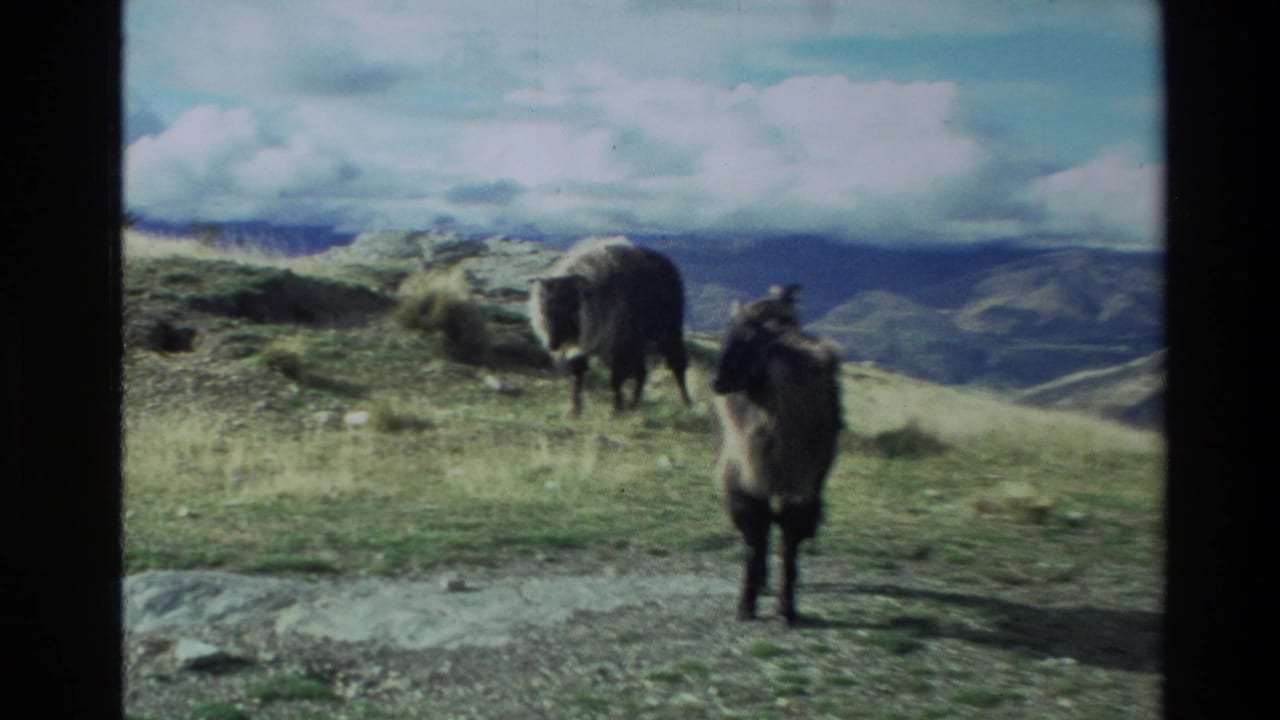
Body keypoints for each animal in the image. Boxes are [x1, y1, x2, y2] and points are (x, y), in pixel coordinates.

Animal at [528, 236, 692, 417]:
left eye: (570, 307)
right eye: (545, 309)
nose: (552, 344)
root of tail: (669, 266)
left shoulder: (618, 346)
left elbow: (616, 379)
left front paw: (616, 409)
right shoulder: (584, 348)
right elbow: (578, 376)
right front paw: (575, 409)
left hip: (669, 331)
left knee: (677, 364)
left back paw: (686, 403)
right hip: (638, 344)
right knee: (642, 373)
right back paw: (634, 405)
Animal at [711, 284, 843, 625]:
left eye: (750, 343)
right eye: (725, 336)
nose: (716, 381)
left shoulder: (799, 485)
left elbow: (788, 543)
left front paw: (787, 608)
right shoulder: (744, 481)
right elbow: (755, 540)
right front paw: (746, 603)